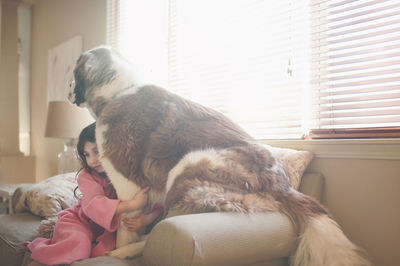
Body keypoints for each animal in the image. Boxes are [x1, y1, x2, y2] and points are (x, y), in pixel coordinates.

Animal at [69, 46, 372, 264]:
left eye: (74, 74)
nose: (68, 89)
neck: (120, 90)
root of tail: (282, 185)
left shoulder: (127, 183)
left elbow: (124, 225)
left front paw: (120, 245)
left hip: (185, 169)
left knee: (169, 220)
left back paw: (125, 253)